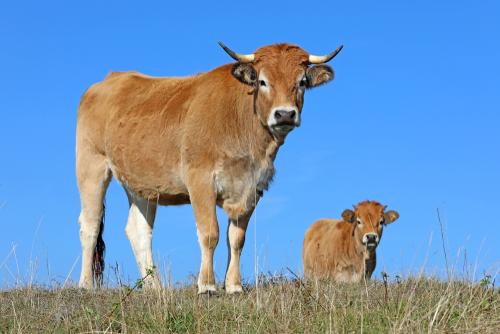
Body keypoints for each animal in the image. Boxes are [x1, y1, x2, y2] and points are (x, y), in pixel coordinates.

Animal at [77, 42, 344, 294]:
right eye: (262, 81)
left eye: (301, 82)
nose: (285, 114)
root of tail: (112, 77)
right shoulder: (200, 181)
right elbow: (209, 234)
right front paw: (206, 285)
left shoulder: (252, 187)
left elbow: (236, 239)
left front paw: (234, 285)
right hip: (91, 166)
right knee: (90, 225)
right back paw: (86, 284)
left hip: (141, 184)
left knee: (139, 230)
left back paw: (154, 287)